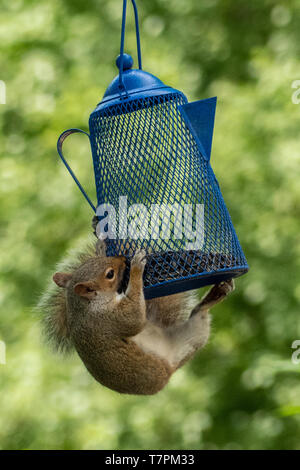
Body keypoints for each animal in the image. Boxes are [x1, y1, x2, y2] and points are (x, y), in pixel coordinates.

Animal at [41, 241, 234, 394]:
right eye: (110, 274)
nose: (122, 258)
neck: (84, 307)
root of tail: (171, 371)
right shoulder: (108, 318)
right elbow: (135, 319)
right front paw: (136, 267)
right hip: (189, 337)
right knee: (199, 315)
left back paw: (217, 293)